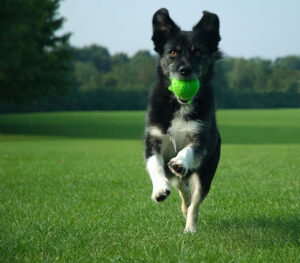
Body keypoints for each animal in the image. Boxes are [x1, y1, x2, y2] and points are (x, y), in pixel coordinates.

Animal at [144, 7, 221, 233]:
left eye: (198, 53)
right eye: (172, 52)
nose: (184, 70)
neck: (180, 105)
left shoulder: (200, 138)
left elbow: (188, 151)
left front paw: (179, 162)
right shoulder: (153, 140)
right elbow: (155, 165)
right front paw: (159, 189)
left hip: (205, 173)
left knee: (194, 201)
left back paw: (190, 227)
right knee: (181, 186)